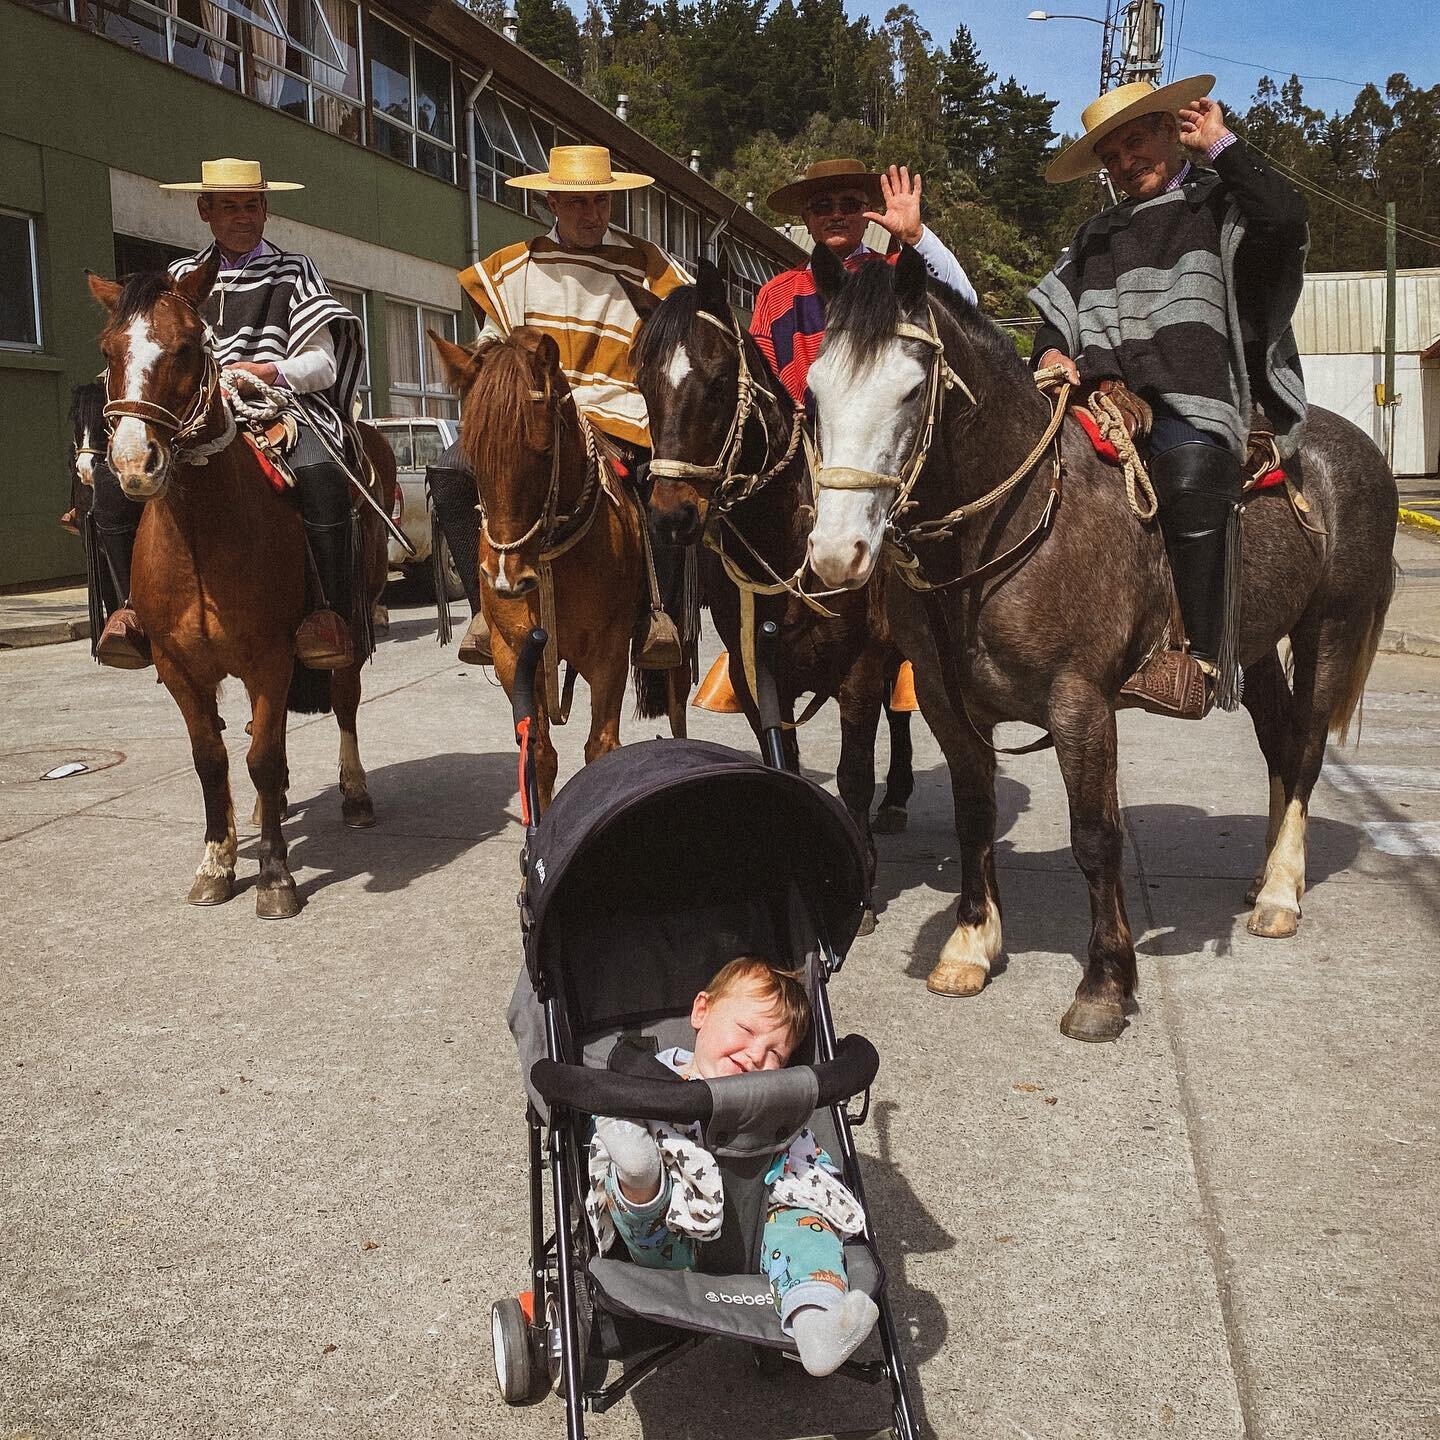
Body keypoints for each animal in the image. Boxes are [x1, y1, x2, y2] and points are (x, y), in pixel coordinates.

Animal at [89, 259, 394, 921]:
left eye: (184, 347)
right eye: (108, 350)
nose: (134, 464)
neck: (203, 541)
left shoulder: (270, 658)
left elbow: (263, 757)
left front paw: (276, 877)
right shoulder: (178, 665)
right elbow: (213, 761)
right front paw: (217, 862)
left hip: (351, 622)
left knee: (344, 701)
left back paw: (356, 796)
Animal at [429, 329, 688, 817]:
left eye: (543, 450)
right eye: (473, 453)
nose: (507, 578)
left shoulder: (609, 652)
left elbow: (601, 748)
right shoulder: (514, 655)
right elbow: (539, 753)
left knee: (678, 703)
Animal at [630, 260, 921, 927]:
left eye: (717, 383)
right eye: (643, 384)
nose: (671, 516)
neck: (789, 544)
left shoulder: (860, 668)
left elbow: (854, 772)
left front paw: (864, 882)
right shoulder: (752, 669)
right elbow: (778, 757)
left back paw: (897, 797)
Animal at [800, 241, 1393, 1042]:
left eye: (910, 390)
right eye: (814, 392)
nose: (838, 555)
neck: (1014, 525)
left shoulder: (1079, 703)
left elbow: (1095, 835)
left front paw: (1105, 982)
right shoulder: (948, 706)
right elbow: (973, 817)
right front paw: (969, 947)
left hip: (1331, 626)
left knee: (1303, 750)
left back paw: (1279, 895)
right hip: (1255, 644)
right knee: (1277, 740)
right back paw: (1268, 876)